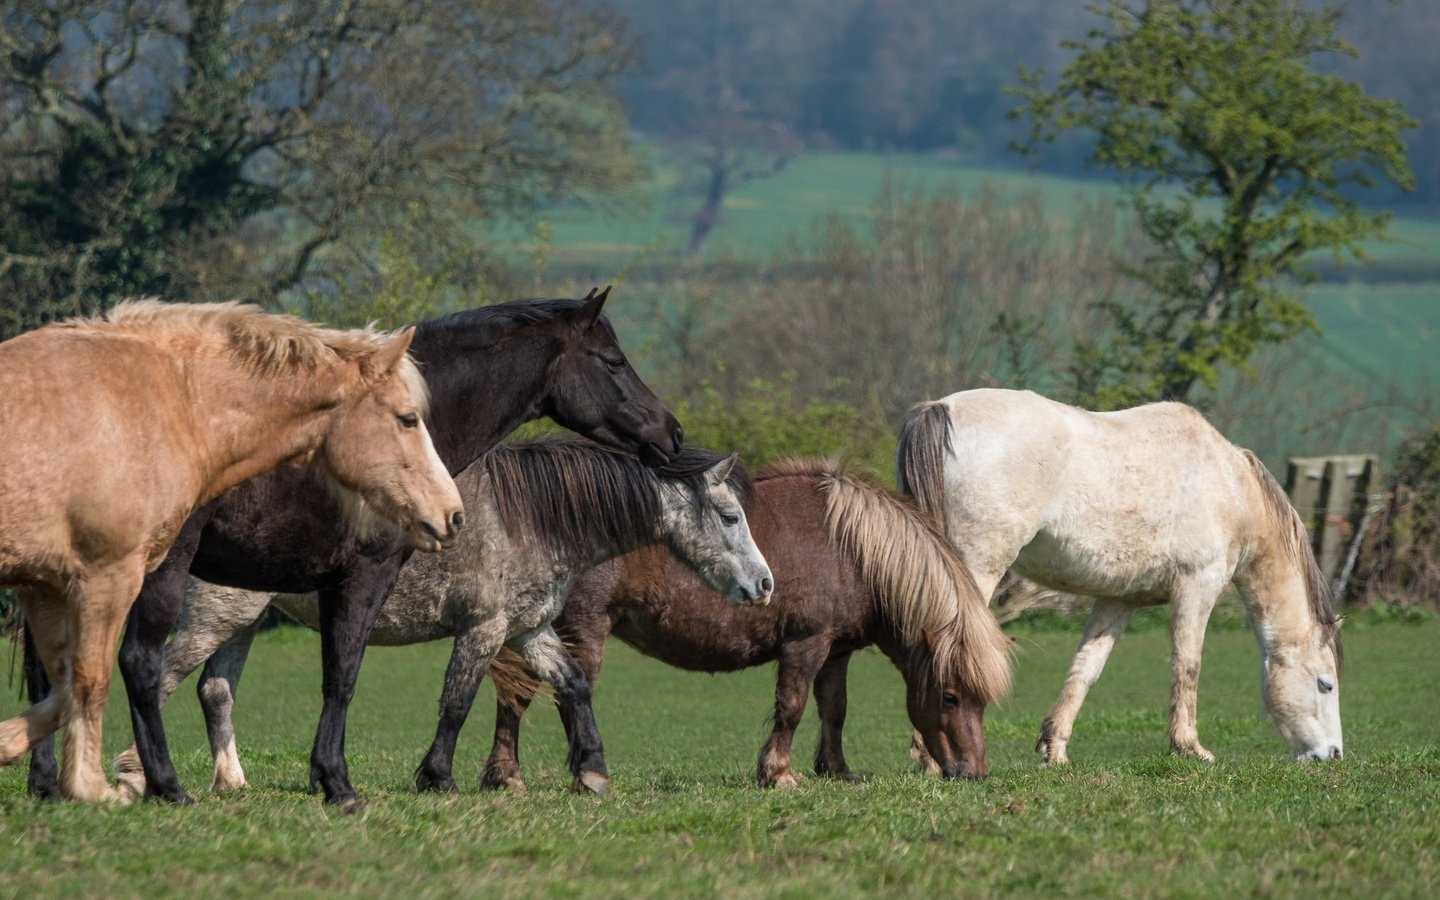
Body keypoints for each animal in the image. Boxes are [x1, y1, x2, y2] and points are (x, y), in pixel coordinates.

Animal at [0, 299, 460, 800]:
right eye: (408, 418)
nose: (453, 513)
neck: (164, 402)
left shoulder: (43, 584)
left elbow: (63, 682)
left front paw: (15, 746)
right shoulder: (108, 575)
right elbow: (93, 677)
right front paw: (92, 787)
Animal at [106, 437, 771, 794]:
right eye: (730, 516)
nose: (764, 585)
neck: (528, 515)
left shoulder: (528, 629)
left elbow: (573, 685)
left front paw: (592, 772)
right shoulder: (484, 630)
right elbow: (457, 701)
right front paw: (438, 777)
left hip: (239, 622)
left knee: (215, 691)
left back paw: (232, 783)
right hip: (214, 618)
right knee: (161, 678)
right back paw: (139, 776)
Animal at [483, 455, 1013, 783]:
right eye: (950, 695)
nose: (973, 771)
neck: (850, 549)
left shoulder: (836, 650)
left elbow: (834, 708)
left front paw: (836, 770)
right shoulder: (806, 643)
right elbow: (792, 706)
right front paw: (777, 773)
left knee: (516, 697)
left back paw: (504, 776)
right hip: (582, 631)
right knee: (561, 695)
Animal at [892, 388, 1342, 766]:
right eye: (1325, 685)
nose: (1332, 755)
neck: (1230, 486)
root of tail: (941, 409)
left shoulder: (1118, 600)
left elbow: (1086, 669)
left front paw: (1054, 751)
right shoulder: (1198, 587)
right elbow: (1188, 663)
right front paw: (1190, 748)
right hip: (976, 569)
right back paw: (932, 757)